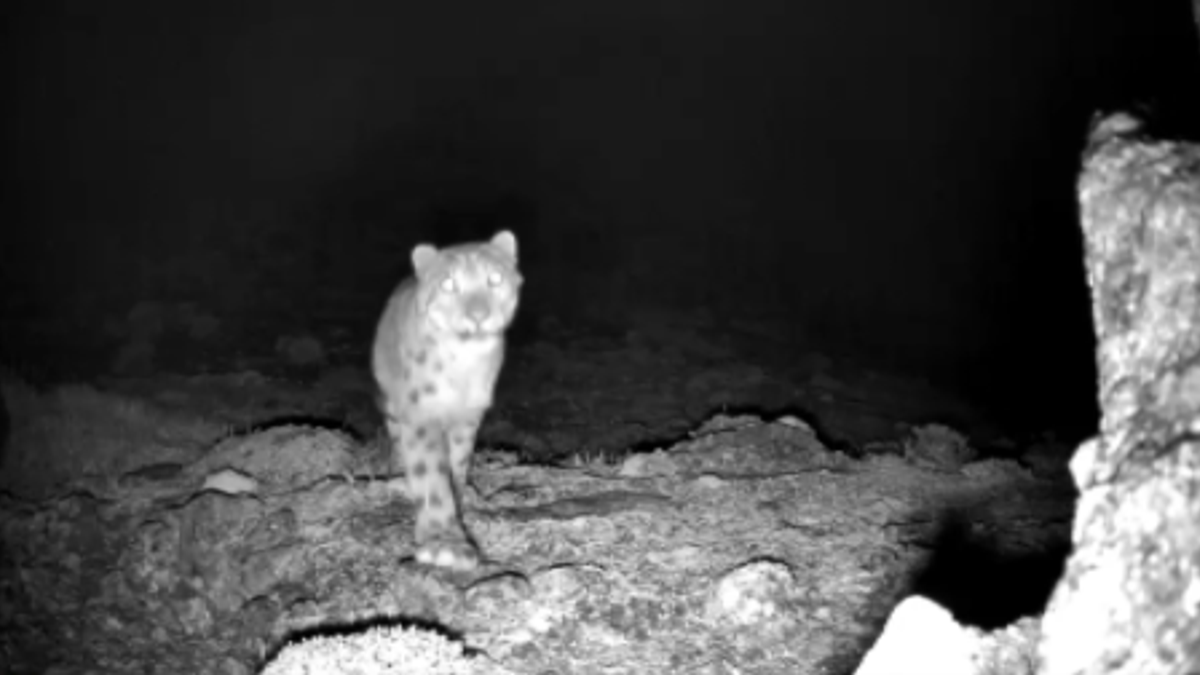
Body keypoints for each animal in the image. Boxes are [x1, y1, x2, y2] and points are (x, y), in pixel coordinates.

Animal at [371, 230, 522, 571]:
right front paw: (445, 543)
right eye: (449, 284)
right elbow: (430, 474)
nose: (478, 314)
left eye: (494, 278)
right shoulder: (421, 413)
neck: (463, 367)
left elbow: (458, 464)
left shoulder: (468, 417)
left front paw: (460, 504)